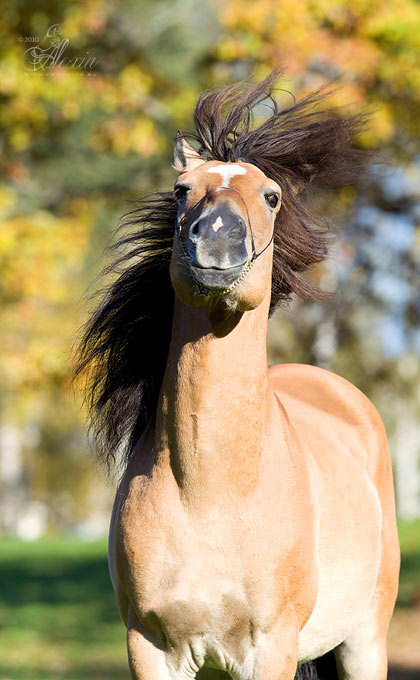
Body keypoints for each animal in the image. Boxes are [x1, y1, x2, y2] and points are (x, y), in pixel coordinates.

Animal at [76, 71, 400, 676]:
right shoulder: (150, 647)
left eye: (271, 196)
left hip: (365, 641)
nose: (218, 237)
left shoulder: (270, 648)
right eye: (182, 190)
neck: (211, 492)